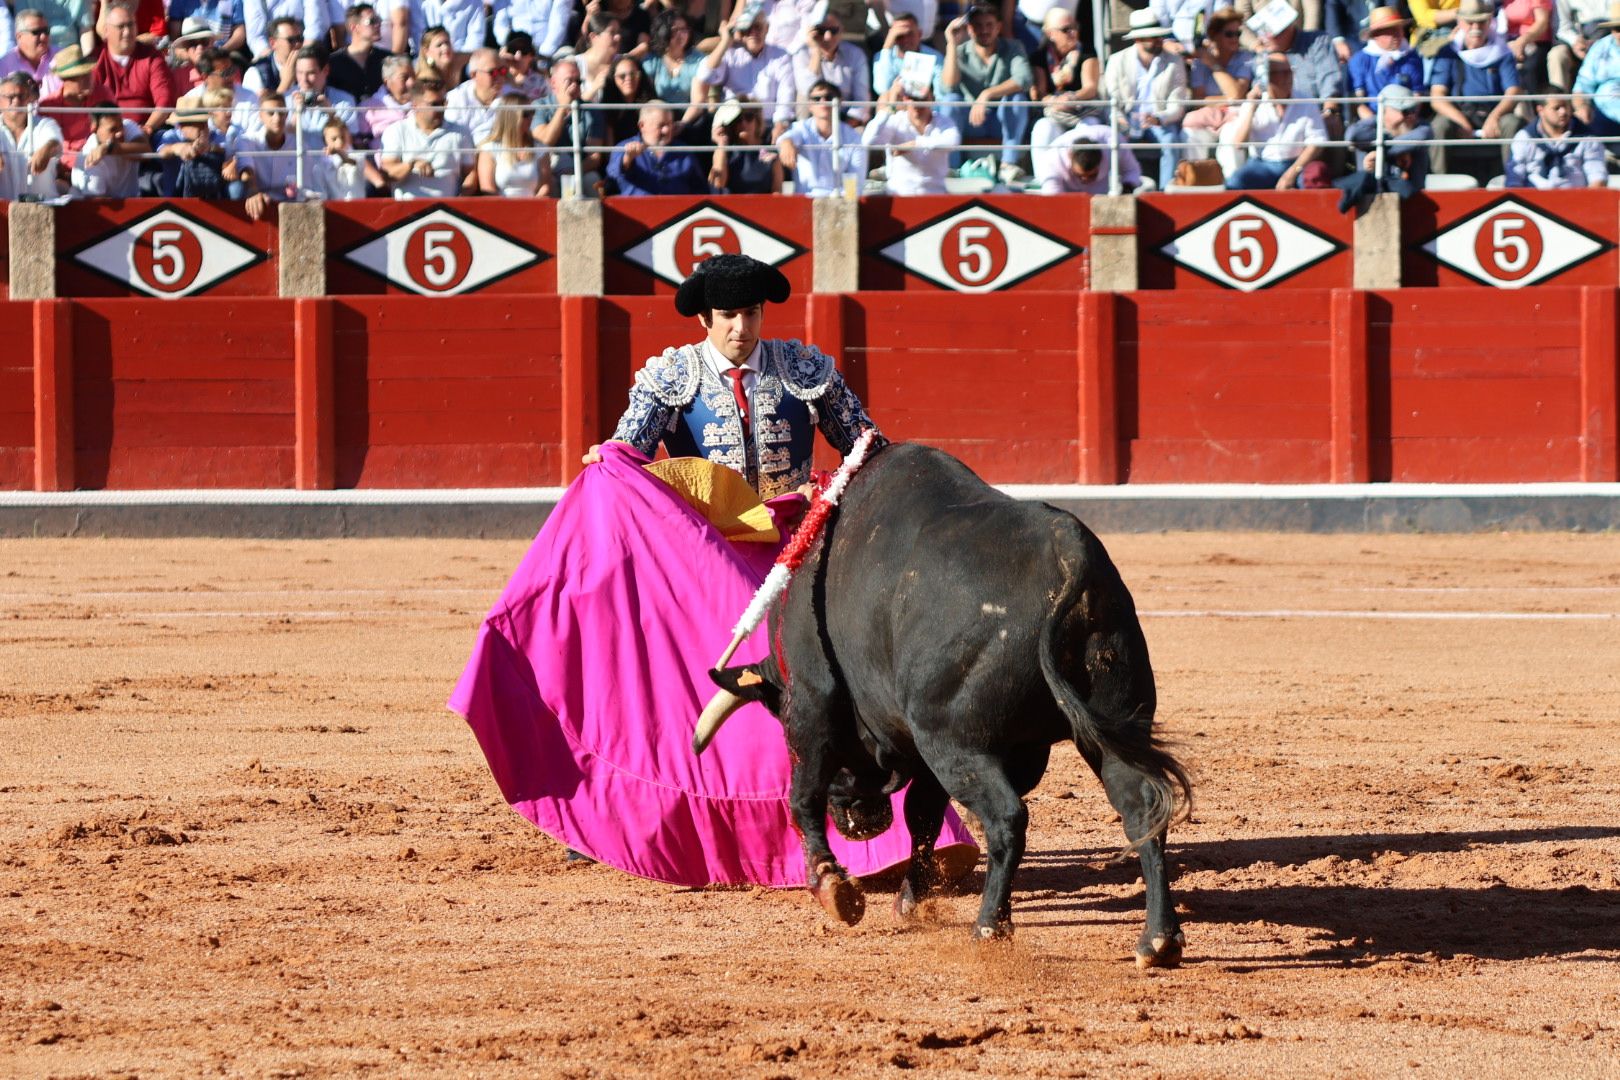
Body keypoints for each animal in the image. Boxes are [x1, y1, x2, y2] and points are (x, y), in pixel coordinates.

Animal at [693, 443, 1192, 965]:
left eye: (779, 716)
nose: (861, 822)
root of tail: (1070, 555)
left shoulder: (812, 705)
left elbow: (804, 796)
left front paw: (835, 889)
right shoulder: (947, 748)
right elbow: (923, 816)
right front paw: (910, 901)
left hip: (956, 743)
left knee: (1007, 817)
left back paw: (991, 925)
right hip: (1112, 725)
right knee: (1142, 809)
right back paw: (1159, 939)